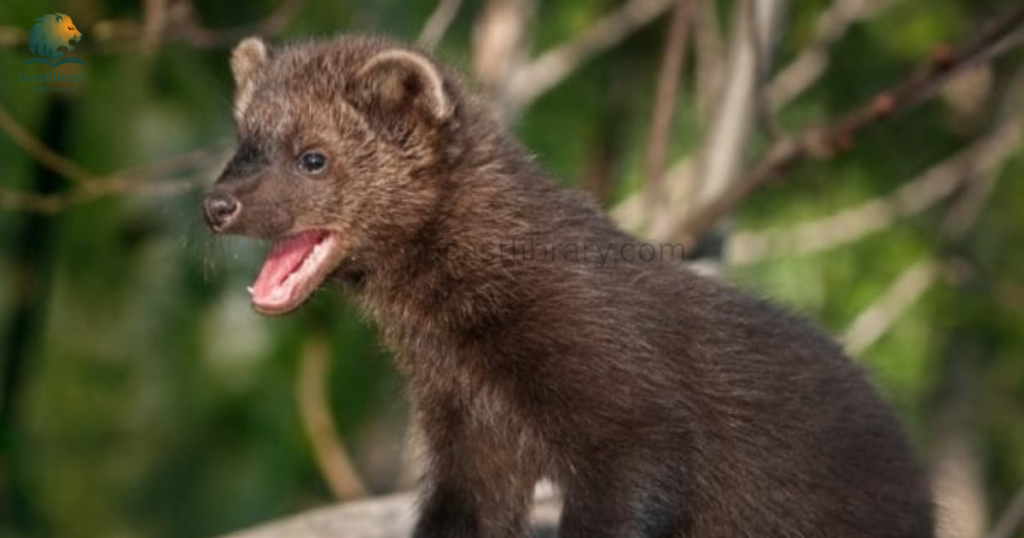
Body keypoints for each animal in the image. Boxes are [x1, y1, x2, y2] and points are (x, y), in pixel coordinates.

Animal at [202, 35, 935, 538]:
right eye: (240, 142)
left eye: (313, 157)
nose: (216, 204)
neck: (470, 356)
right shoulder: (467, 431)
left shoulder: (625, 396)